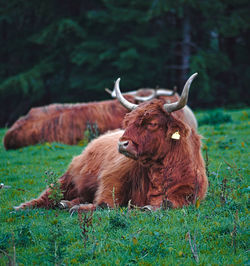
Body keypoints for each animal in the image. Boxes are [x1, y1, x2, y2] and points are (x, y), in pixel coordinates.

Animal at [14, 73, 208, 212]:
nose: (122, 144)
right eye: (127, 122)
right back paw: (21, 208)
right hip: (68, 178)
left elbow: (167, 204)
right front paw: (82, 209)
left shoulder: (189, 193)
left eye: (152, 123)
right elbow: (106, 203)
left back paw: (66, 204)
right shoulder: (113, 175)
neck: (159, 171)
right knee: (49, 194)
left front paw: (149, 207)